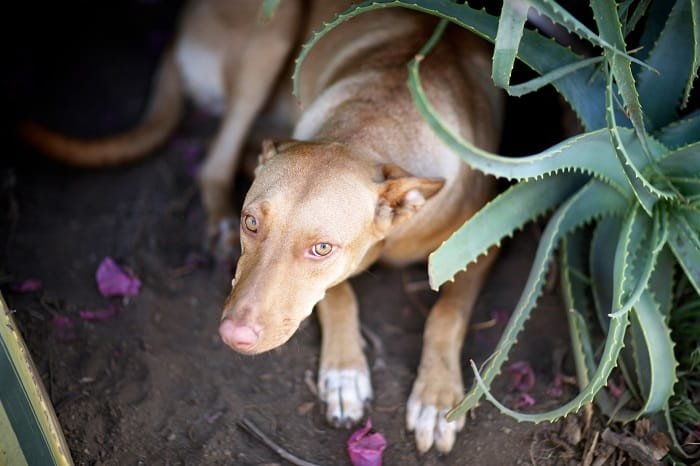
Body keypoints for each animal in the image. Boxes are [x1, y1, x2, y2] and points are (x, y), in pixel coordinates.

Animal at [20, 0, 504, 454]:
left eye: (322, 249)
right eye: (250, 222)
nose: (233, 335)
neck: (371, 124)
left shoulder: (483, 241)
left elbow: (446, 312)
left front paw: (437, 399)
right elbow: (337, 295)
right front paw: (344, 372)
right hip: (273, 30)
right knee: (216, 160)